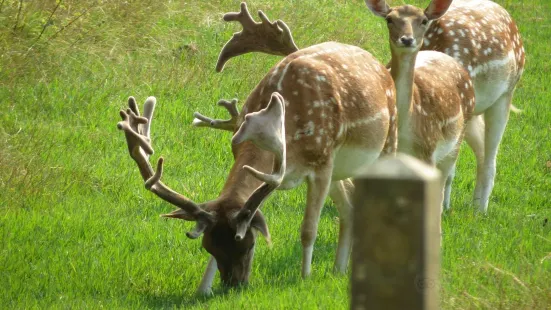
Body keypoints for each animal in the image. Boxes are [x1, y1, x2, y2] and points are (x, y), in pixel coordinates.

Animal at [118, 42, 398, 294]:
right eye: (209, 247)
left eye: (248, 245)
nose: (234, 285)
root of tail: (379, 64)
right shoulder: (277, 175)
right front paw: (202, 289)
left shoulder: (322, 162)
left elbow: (308, 229)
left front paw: (305, 278)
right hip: (341, 169)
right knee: (349, 205)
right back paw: (339, 269)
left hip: (388, 138)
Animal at [418, 0, 528, 213]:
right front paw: (445, 207)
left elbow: (448, 168)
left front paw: (443, 209)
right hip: (474, 113)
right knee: (482, 150)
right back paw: (473, 204)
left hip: (505, 94)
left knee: (491, 156)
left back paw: (480, 210)